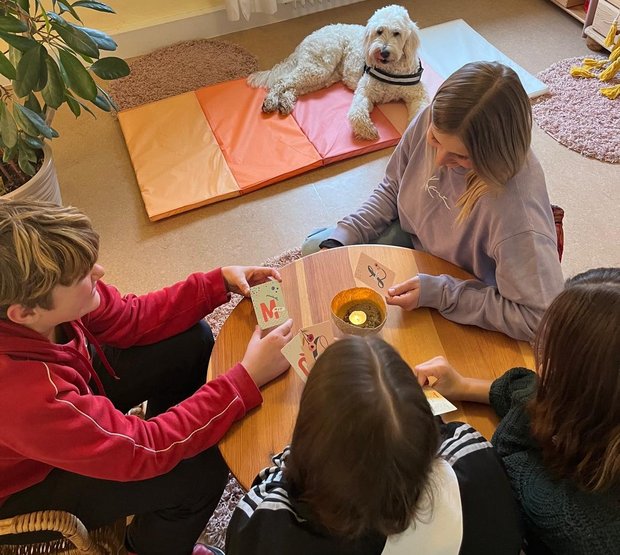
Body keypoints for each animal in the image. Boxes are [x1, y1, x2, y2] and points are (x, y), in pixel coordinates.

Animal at [246, 5, 426, 140]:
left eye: (397, 33)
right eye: (379, 31)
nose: (383, 52)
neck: (390, 69)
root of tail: (307, 39)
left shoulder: (418, 95)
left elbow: (421, 112)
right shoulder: (364, 92)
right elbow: (357, 114)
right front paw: (367, 131)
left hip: (322, 76)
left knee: (292, 87)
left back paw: (284, 102)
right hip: (318, 67)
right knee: (281, 81)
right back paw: (270, 101)